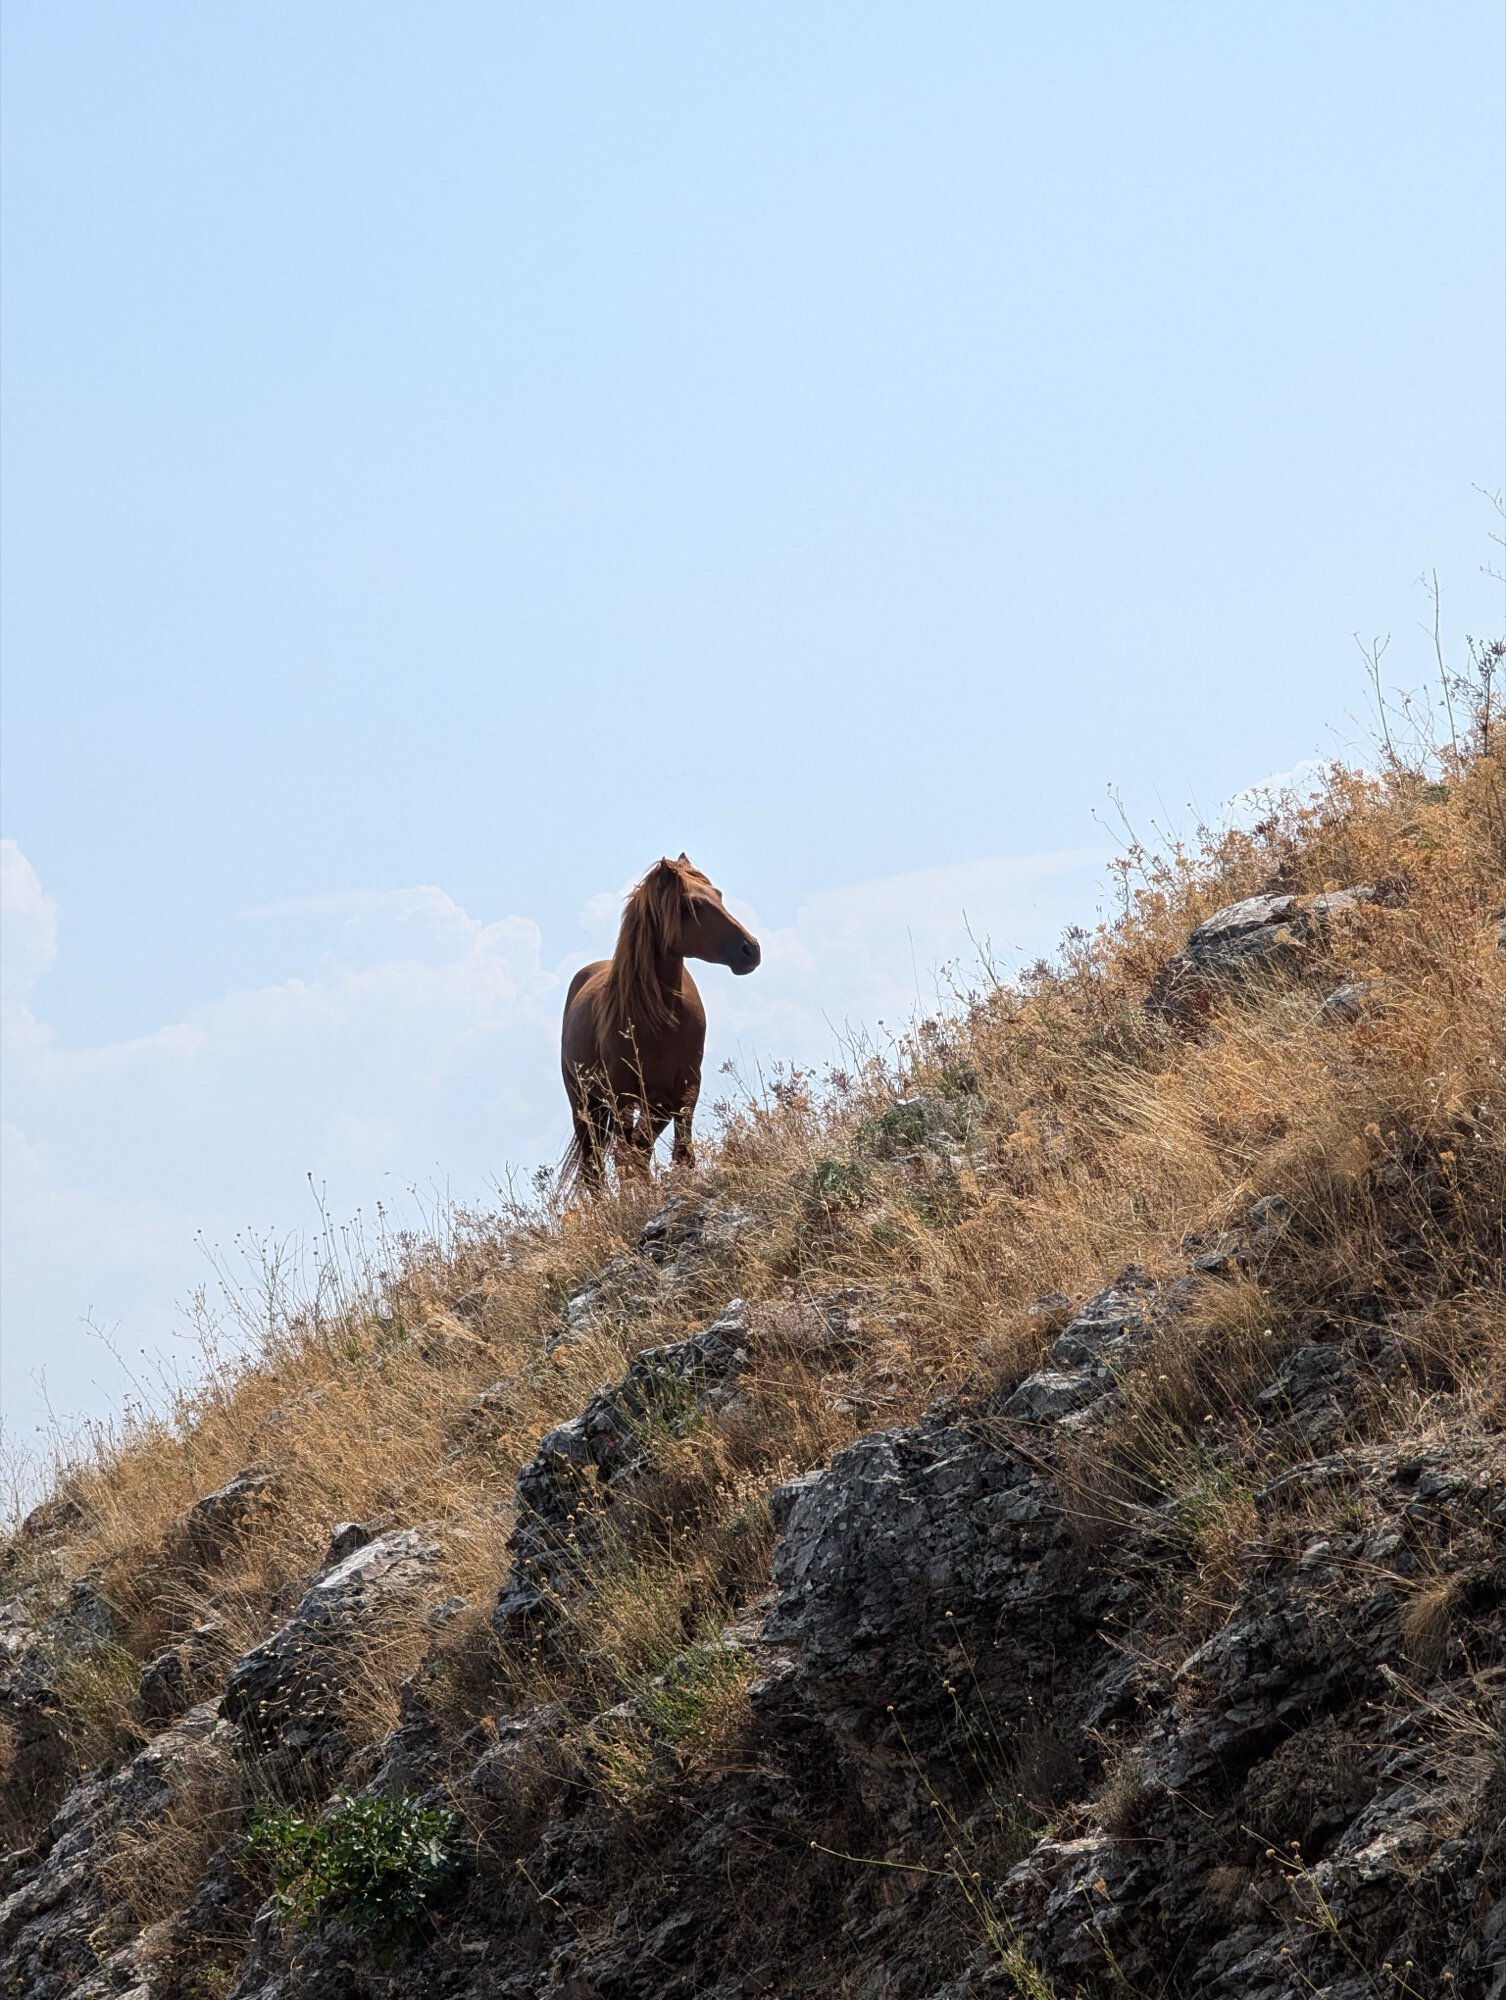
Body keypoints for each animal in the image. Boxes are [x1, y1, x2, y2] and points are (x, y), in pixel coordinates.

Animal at [560, 856, 756, 1192]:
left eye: (718, 894)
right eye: (692, 904)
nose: (751, 949)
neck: (662, 1017)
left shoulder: (684, 1090)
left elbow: (677, 1154)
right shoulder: (623, 1096)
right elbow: (625, 1158)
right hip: (586, 1105)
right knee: (594, 1167)